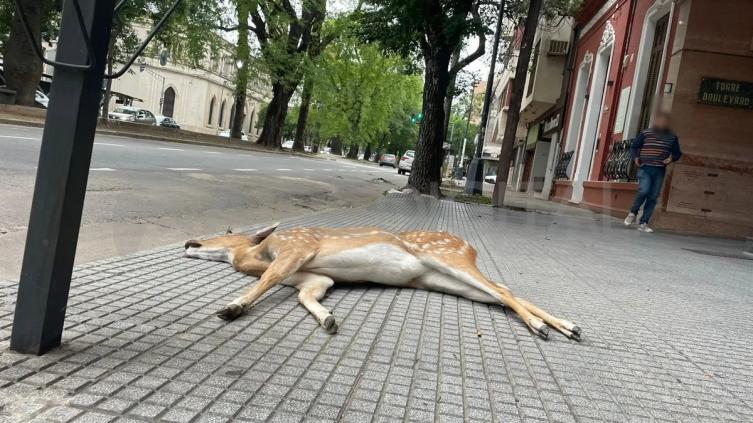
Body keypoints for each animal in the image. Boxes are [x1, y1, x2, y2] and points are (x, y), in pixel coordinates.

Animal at [183, 224, 582, 340]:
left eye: (227, 232)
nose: (189, 242)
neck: (262, 253)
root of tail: (470, 247)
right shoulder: (315, 276)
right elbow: (305, 296)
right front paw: (328, 319)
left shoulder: (299, 247)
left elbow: (269, 278)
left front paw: (232, 307)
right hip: (439, 279)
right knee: (503, 292)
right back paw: (568, 327)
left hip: (447, 258)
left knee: (501, 289)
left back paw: (541, 327)